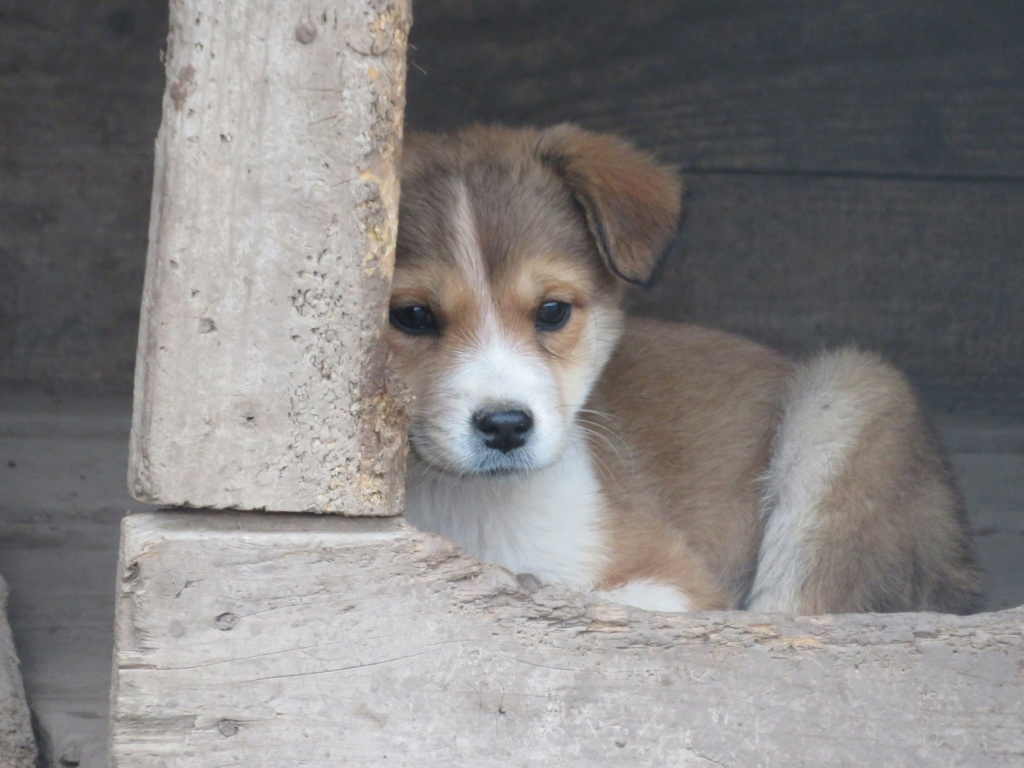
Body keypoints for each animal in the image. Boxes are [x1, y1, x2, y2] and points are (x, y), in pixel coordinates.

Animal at [387, 128, 978, 618]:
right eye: (411, 316)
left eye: (551, 311)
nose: (507, 427)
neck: (473, 505)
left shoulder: (677, 581)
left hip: (852, 398)